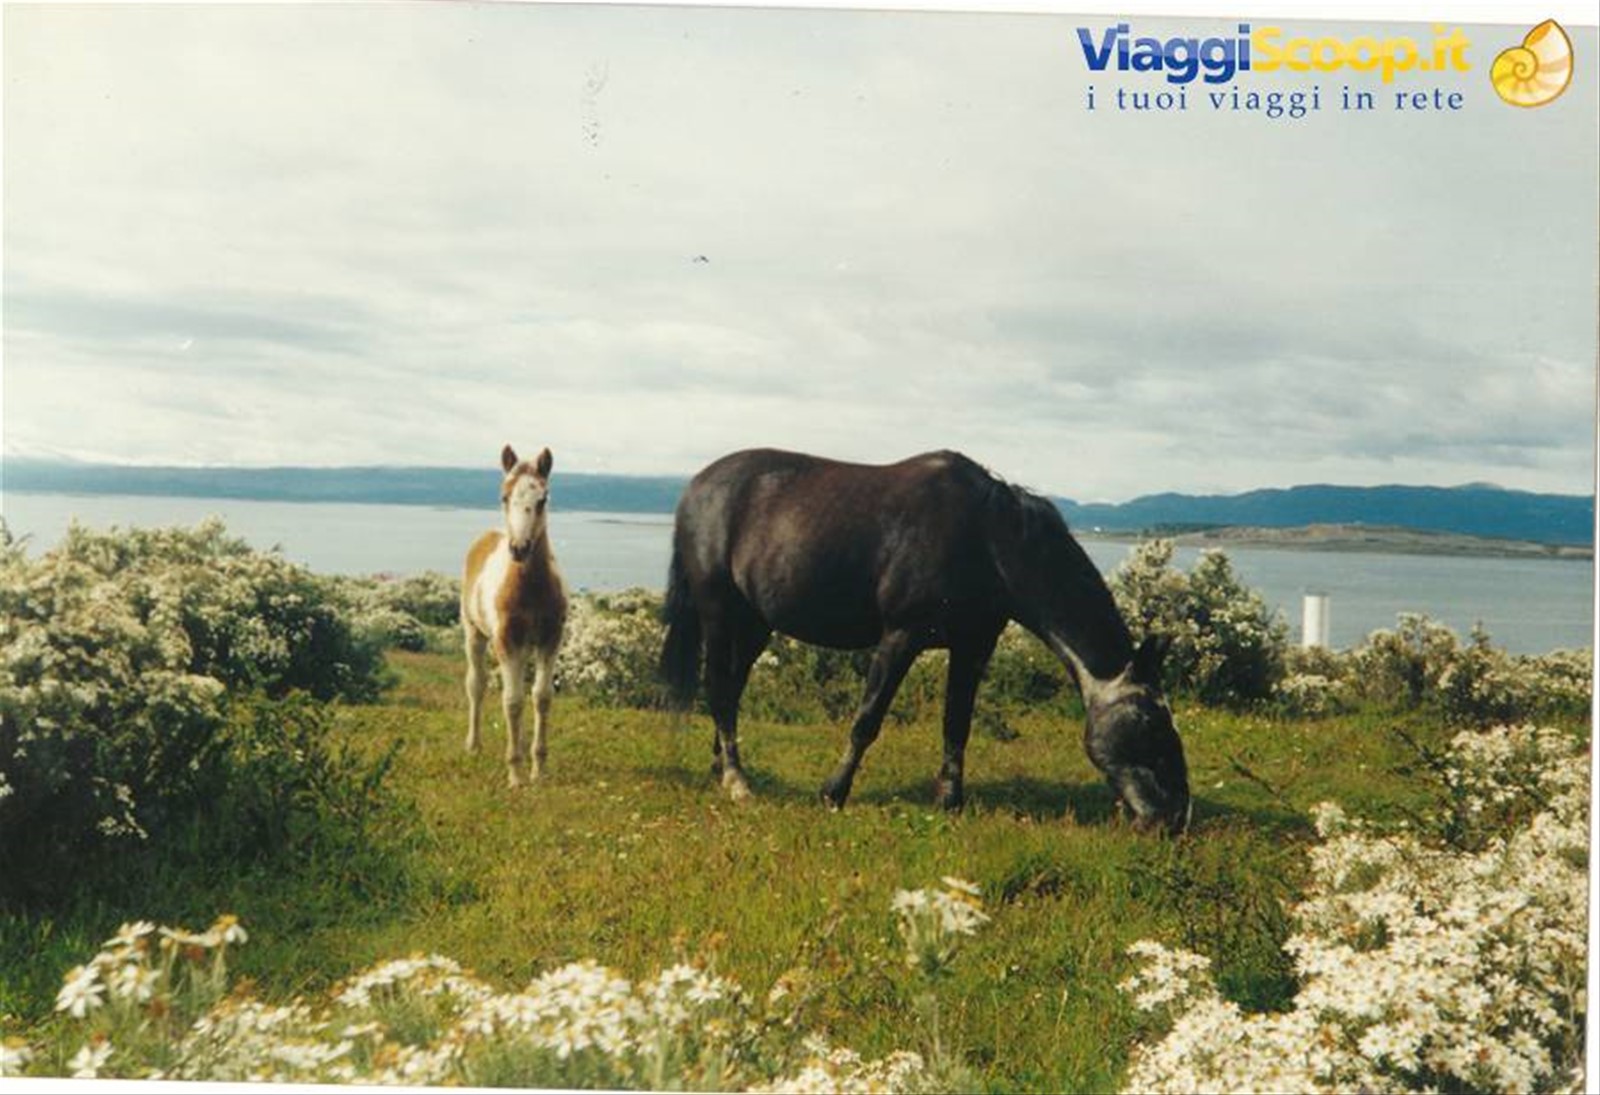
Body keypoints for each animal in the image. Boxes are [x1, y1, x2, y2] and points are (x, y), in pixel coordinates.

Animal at [461, 444, 569, 788]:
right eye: (504, 496)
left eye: (543, 498)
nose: (519, 548)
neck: (529, 588)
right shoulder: (506, 641)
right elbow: (512, 701)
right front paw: (515, 775)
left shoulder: (550, 640)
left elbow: (541, 697)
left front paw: (539, 768)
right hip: (476, 635)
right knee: (477, 684)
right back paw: (474, 745)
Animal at [659, 448, 1191, 835]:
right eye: (1150, 723)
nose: (1174, 819)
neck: (988, 539)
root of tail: (696, 487)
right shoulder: (901, 636)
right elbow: (867, 721)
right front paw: (834, 792)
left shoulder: (974, 645)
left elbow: (957, 724)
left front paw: (951, 801)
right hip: (719, 611)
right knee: (719, 688)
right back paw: (736, 781)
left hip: (755, 622)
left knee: (731, 687)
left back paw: (720, 767)